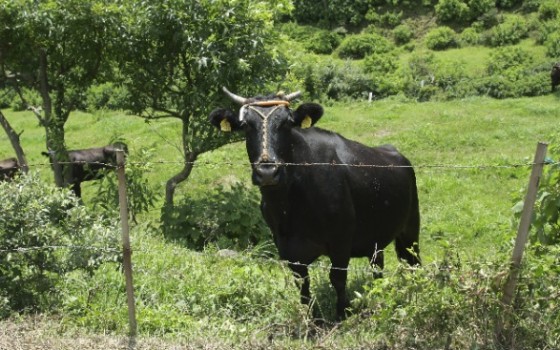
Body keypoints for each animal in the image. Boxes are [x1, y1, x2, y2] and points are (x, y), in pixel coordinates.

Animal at [210, 88, 420, 320]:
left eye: (287, 124)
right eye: (246, 125)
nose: (267, 172)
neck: (289, 206)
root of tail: (394, 152)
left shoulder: (341, 240)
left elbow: (337, 278)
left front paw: (342, 314)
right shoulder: (287, 248)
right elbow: (302, 284)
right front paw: (311, 317)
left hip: (411, 229)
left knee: (413, 262)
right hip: (376, 236)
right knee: (377, 265)